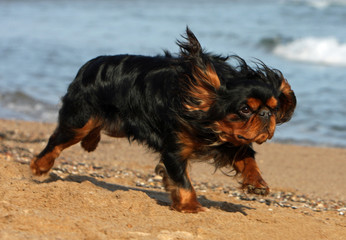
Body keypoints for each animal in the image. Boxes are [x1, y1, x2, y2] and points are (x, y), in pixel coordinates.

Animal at [30, 27, 294, 213]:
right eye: (245, 109)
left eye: (273, 108)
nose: (265, 115)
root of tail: (88, 65)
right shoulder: (174, 150)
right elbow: (183, 183)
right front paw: (190, 206)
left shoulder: (230, 139)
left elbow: (248, 158)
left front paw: (256, 183)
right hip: (80, 120)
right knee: (56, 142)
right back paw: (40, 165)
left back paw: (90, 142)